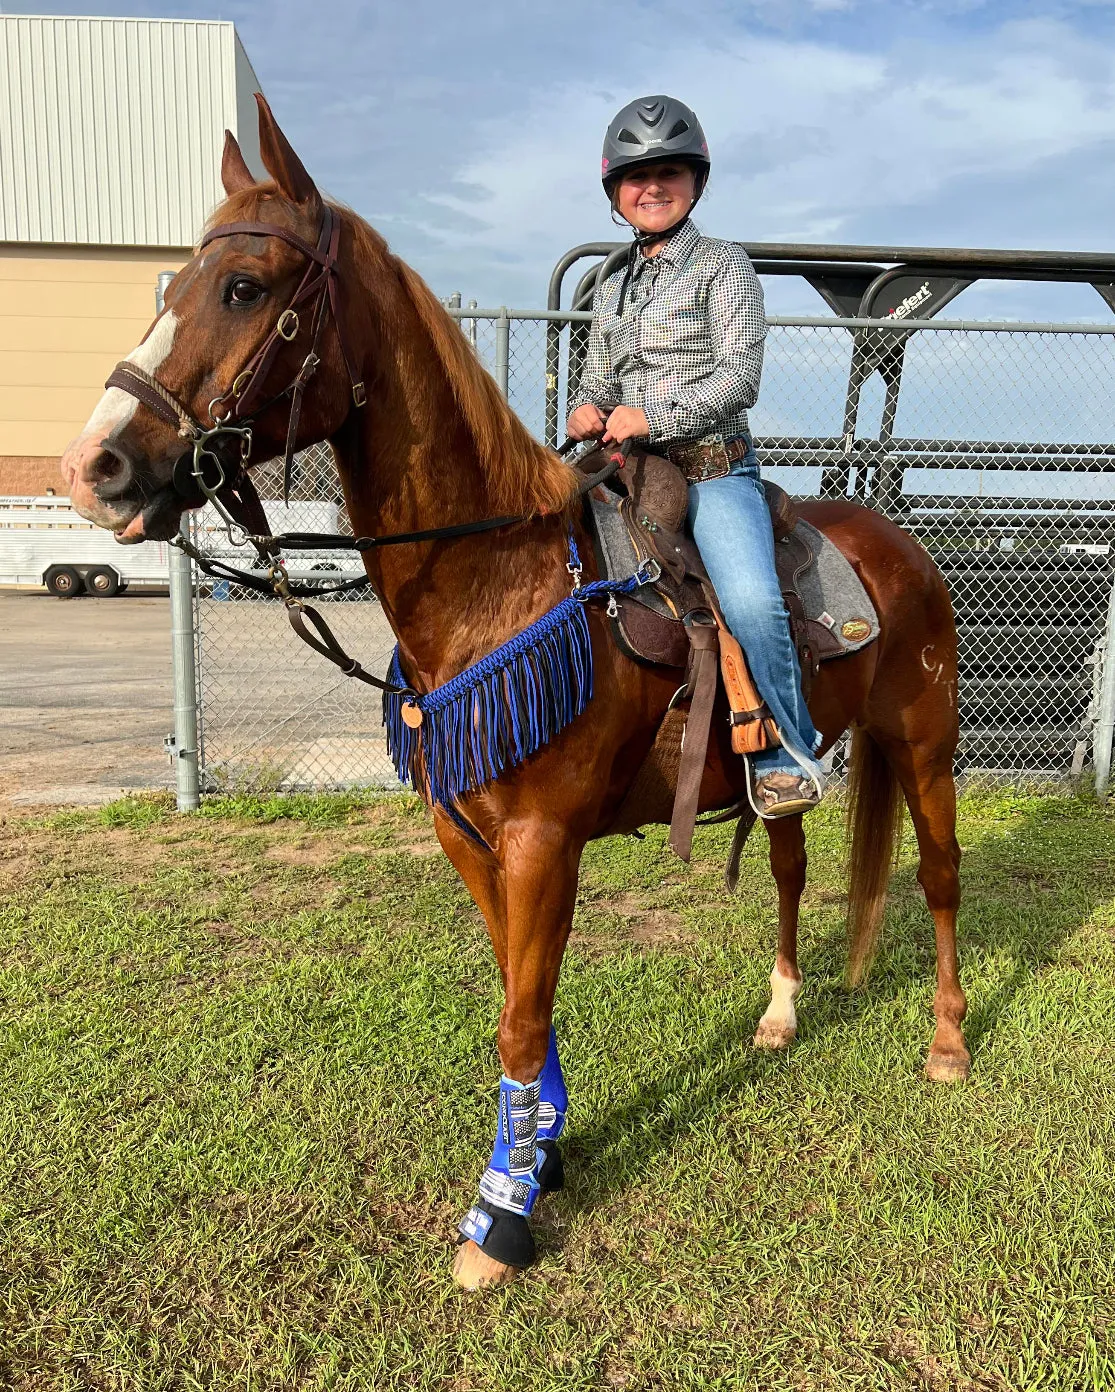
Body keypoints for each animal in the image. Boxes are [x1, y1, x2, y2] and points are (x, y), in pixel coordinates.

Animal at [60, 95, 963, 1291]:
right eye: (172, 289)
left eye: (244, 288)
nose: (95, 468)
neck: (499, 579)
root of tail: (903, 545)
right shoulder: (471, 836)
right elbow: (517, 998)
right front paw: (542, 1149)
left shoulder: (543, 841)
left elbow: (519, 1023)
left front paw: (498, 1219)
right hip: (786, 770)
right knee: (788, 865)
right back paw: (776, 1016)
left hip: (924, 744)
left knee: (941, 881)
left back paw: (948, 1042)